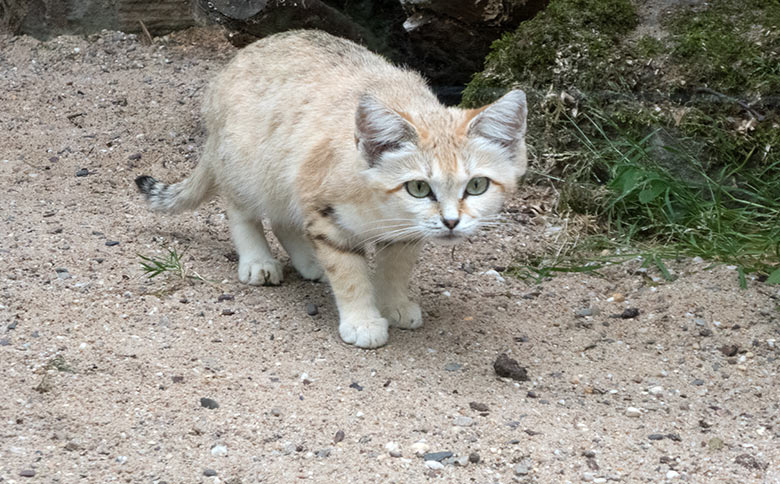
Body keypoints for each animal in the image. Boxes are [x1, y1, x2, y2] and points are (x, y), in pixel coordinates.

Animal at [137, 29, 532, 348]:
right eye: (419, 188)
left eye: (477, 185)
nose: (451, 222)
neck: (378, 206)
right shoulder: (324, 210)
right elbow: (349, 273)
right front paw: (363, 321)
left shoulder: (402, 231)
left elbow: (395, 267)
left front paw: (393, 303)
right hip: (248, 166)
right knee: (241, 211)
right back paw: (258, 260)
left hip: (284, 176)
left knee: (283, 219)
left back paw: (309, 262)